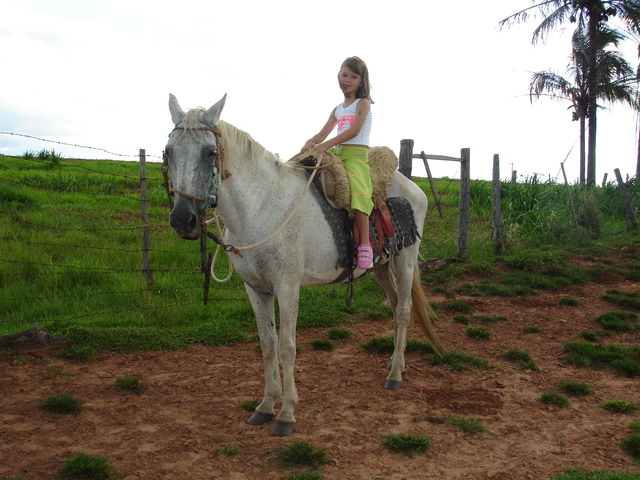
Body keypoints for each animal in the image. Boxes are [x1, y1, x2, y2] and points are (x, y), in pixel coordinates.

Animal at [165, 93, 442, 437]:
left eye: (210, 152)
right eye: (168, 152)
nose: (183, 219)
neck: (260, 208)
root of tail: (412, 187)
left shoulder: (287, 287)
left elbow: (287, 348)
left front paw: (286, 415)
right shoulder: (255, 289)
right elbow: (268, 345)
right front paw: (265, 407)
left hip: (405, 259)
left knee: (403, 309)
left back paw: (396, 375)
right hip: (381, 266)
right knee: (393, 305)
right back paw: (393, 361)